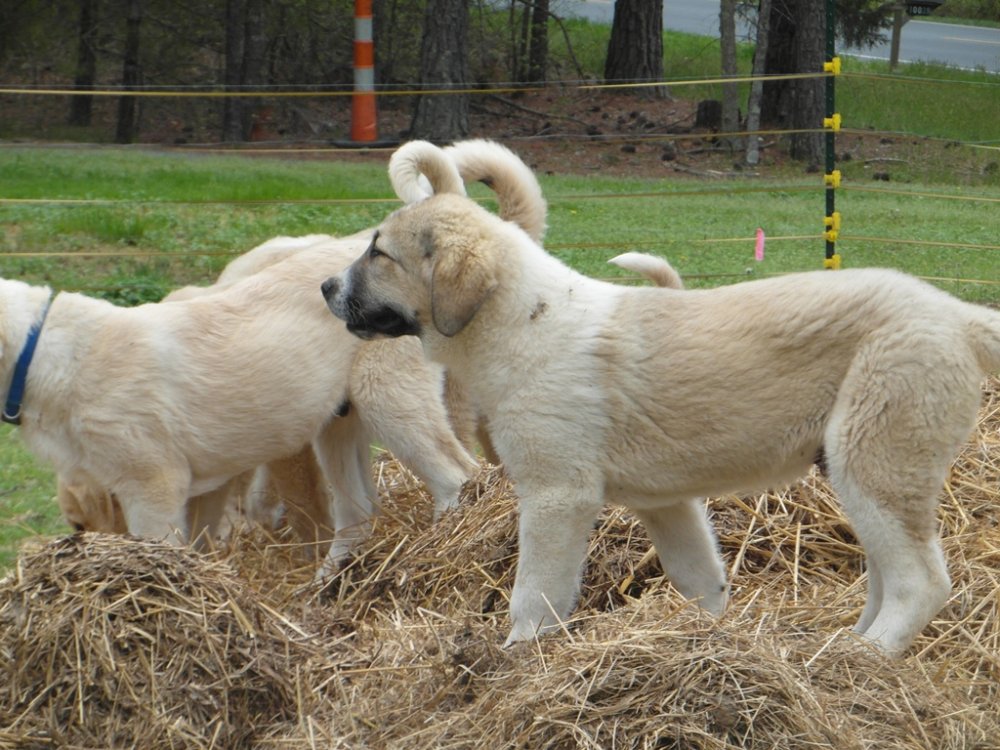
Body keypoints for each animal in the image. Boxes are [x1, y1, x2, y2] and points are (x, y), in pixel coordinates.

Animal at [322, 141, 1000, 656]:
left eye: (379, 253)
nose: (326, 286)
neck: (520, 320)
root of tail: (954, 314)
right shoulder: (668, 504)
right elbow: (701, 579)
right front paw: (707, 638)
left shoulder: (556, 496)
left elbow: (534, 593)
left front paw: (516, 657)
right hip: (858, 471)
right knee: (887, 575)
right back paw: (840, 645)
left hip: (878, 461)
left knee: (920, 583)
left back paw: (863, 658)